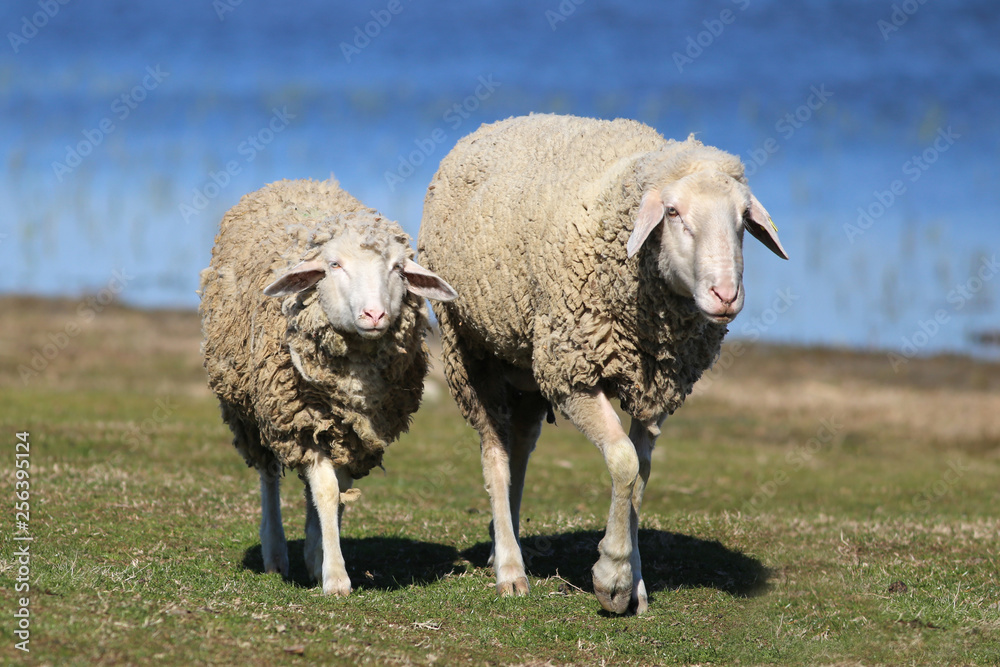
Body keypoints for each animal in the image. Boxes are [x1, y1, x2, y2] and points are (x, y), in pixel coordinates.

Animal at [199, 178, 457, 596]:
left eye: (398, 268)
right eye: (335, 265)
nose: (374, 314)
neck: (355, 379)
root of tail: (297, 181)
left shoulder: (354, 431)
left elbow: (335, 494)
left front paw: (321, 556)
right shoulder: (300, 419)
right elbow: (326, 491)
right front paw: (335, 577)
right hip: (252, 410)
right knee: (268, 475)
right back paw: (275, 554)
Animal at [417, 113, 787, 615]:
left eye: (743, 220)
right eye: (673, 213)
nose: (725, 295)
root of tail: (492, 125)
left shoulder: (655, 388)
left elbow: (642, 478)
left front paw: (637, 585)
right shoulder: (573, 373)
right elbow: (624, 462)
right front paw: (612, 578)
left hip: (527, 365)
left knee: (520, 447)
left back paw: (502, 540)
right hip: (471, 351)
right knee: (495, 454)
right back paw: (510, 569)